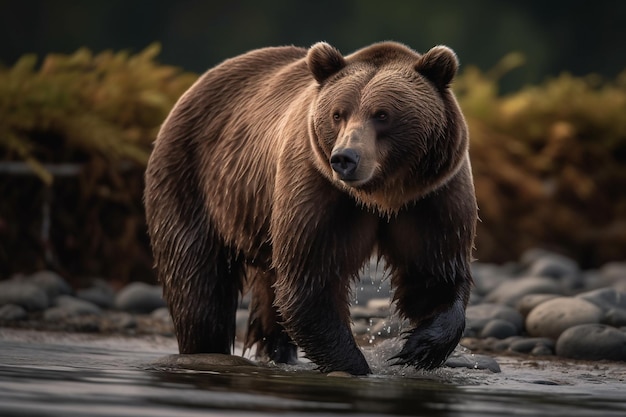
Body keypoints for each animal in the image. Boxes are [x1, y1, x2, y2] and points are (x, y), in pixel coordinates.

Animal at [145, 41, 478, 374]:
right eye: (337, 114)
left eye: (382, 114)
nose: (345, 158)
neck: (381, 195)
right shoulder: (319, 190)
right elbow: (311, 283)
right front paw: (356, 365)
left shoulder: (430, 198)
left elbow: (433, 274)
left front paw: (418, 348)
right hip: (193, 182)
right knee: (198, 288)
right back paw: (204, 349)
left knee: (267, 293)